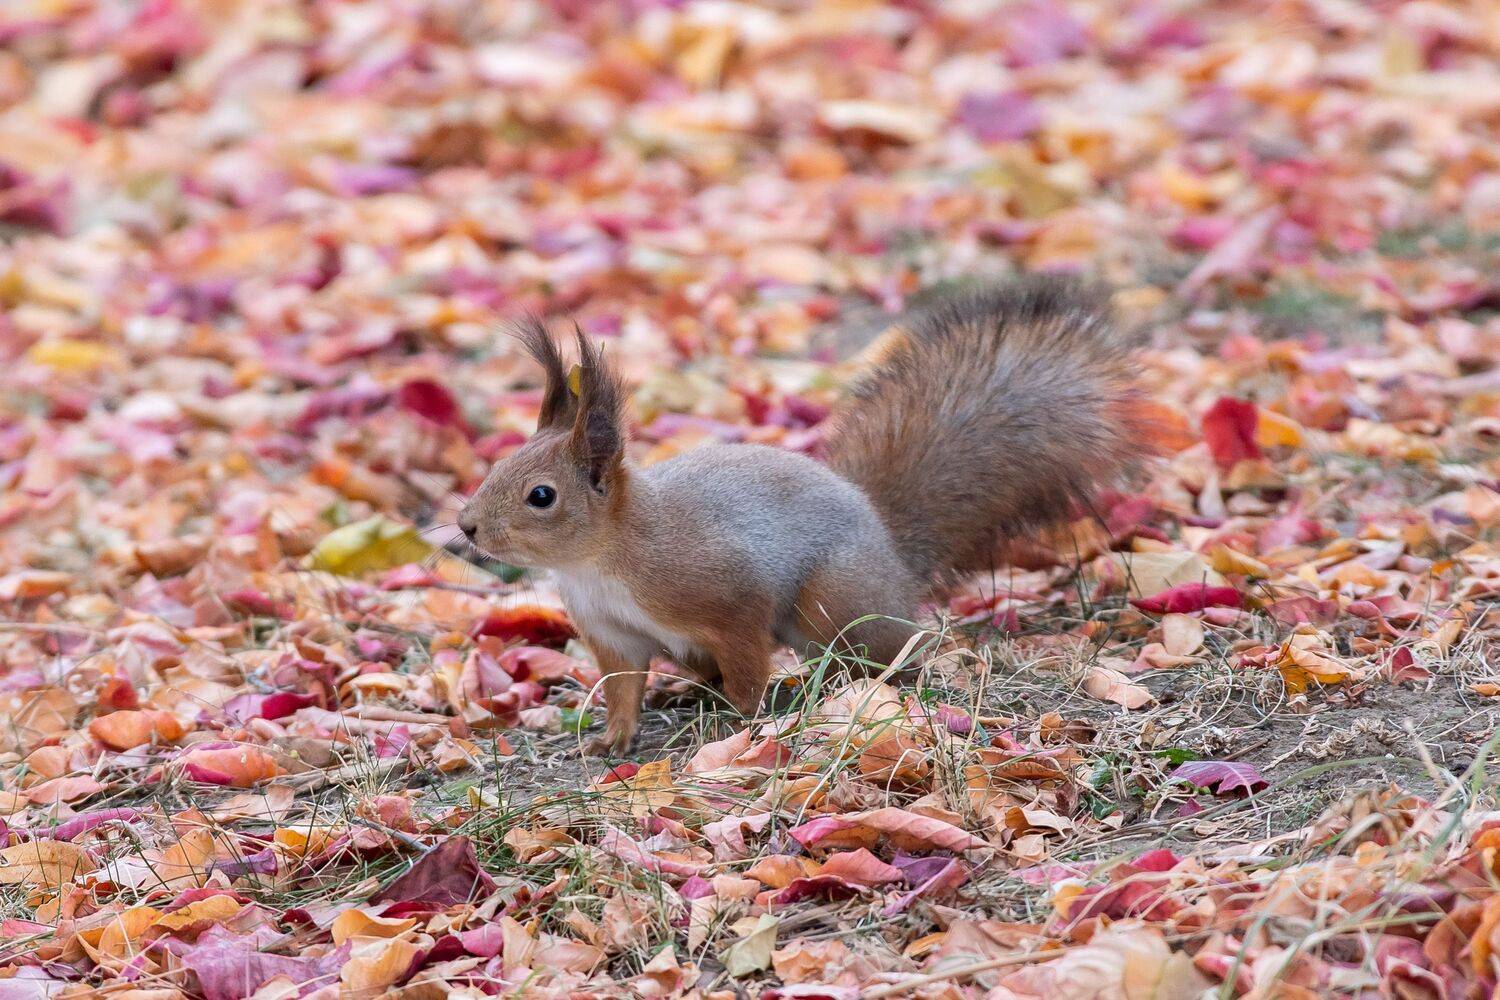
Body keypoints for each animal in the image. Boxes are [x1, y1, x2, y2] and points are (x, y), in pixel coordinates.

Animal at [458, 277, 1151, 755]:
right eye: (497, 465)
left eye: (541, 495)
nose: (467, 527)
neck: (600, 561)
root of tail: (893, 556)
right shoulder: (613, 633)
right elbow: (624, 687)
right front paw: (613, 738)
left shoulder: (724, 596)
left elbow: (746, 659)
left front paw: (743, 721)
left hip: (832, 599)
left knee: (888, 651)